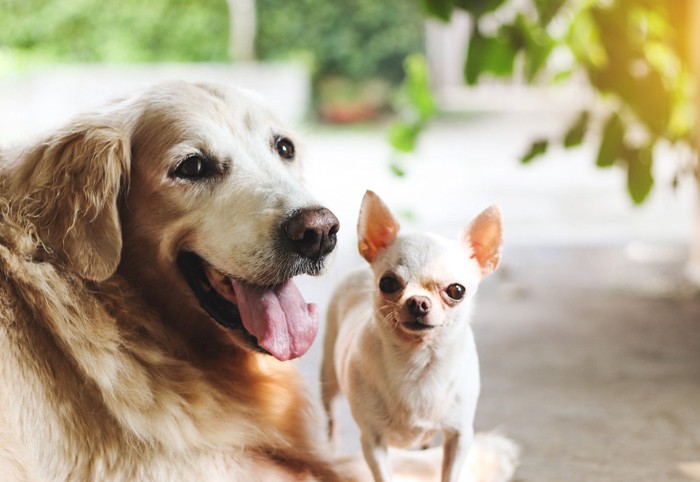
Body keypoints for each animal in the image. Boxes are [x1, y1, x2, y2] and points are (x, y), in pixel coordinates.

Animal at [322, 190, 504, 480]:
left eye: (456, 290)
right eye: (387, 283)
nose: (418, 302)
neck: (417, 360)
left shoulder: (459, 436)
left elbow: (449, 474)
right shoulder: (372, 441)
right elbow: (383, 475)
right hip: (328, 378)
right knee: (332, 419)